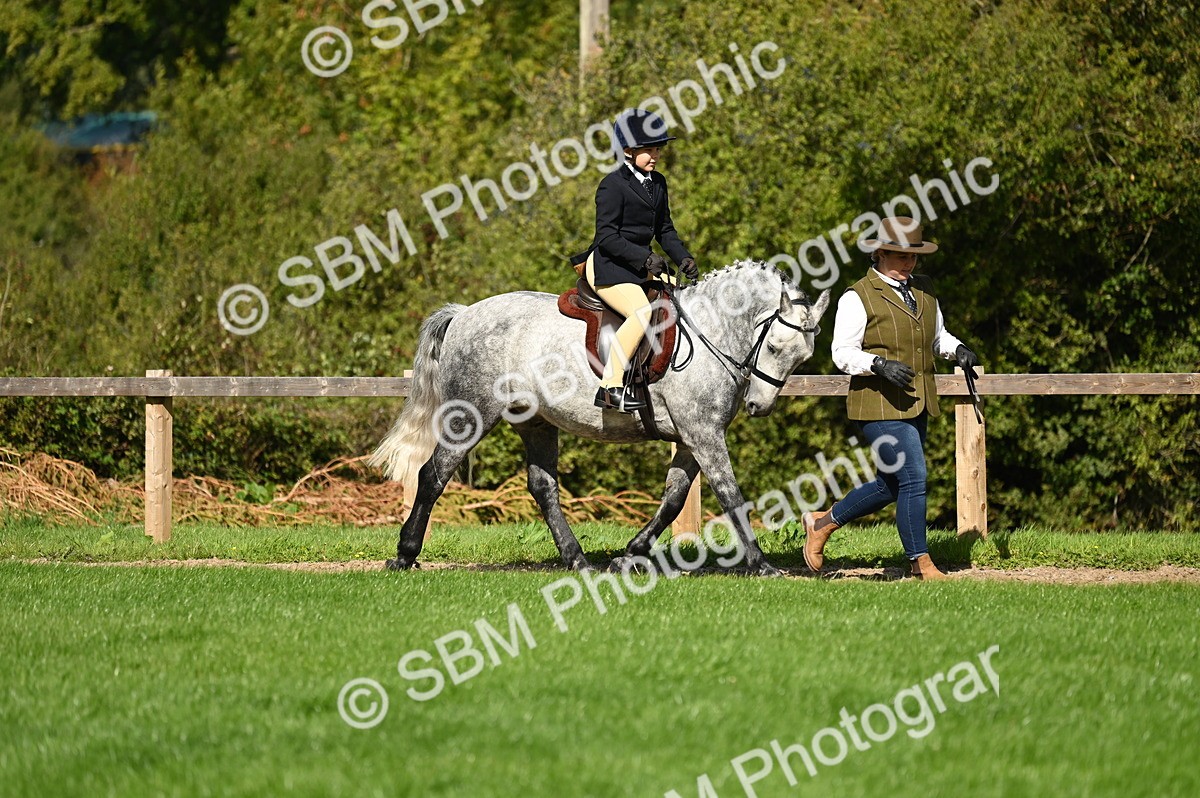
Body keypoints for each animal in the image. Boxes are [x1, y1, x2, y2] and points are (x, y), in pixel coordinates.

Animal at [368, 260, 831, 576]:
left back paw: (577, 559)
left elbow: (674, 498)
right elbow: (730, 493)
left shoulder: (691, 436)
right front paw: (761, 563)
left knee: (543, 488)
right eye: (774, 346)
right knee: (433, 474)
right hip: (471, 415)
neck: (710, 331)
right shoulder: (703, 432)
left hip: (536, 423)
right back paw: (405, 554)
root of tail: (463, 313)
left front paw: (631, 553)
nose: (759, 406)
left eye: (802, 358)